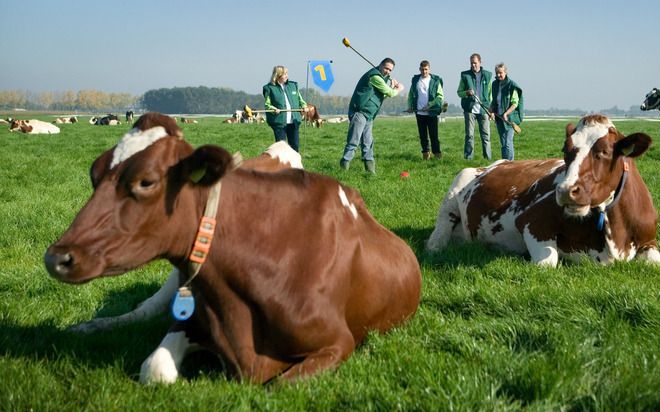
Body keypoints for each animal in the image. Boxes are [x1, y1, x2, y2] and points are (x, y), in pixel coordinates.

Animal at [43, 112, 420, 384]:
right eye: (94, 173)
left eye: (146, 181)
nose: (57, 257)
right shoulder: (192, 317)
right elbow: (155, 369)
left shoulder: (339, 342)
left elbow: (282, 384)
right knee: (143, 309)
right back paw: (91, 326)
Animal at [428, 112, 660, 268]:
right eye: (565, 150)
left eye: (604, 152)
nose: (566, 190)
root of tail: (497, 163)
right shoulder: (530, 221)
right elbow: (548, 262)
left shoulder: (649, 239)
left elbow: (654, 260)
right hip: (457, 185)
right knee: (438, 234)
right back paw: (436, 246)